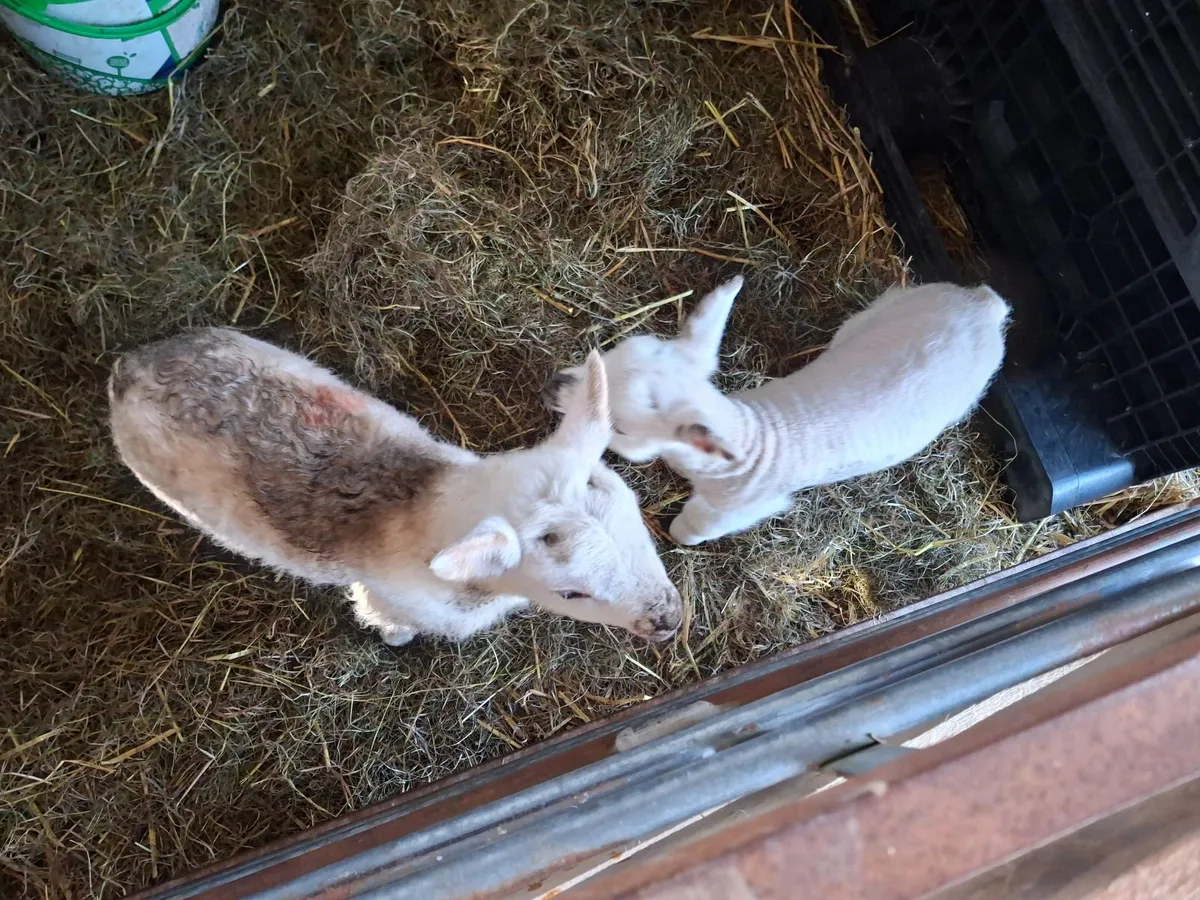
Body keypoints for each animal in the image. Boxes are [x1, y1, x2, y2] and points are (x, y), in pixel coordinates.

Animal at [109, 328, 682, 644]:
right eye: (571, 593)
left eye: (637, 518)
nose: (670, 619)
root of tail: (132, 364)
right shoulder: (397, 599)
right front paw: (396, 637)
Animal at [546, 277, 1010, 545]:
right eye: (605, 356)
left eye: (620, 428)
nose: (551, 386)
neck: (751, 433)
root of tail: (983, 305)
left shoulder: (737, 508)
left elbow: (694, 528)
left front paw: (673, 534)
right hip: (892, 305)